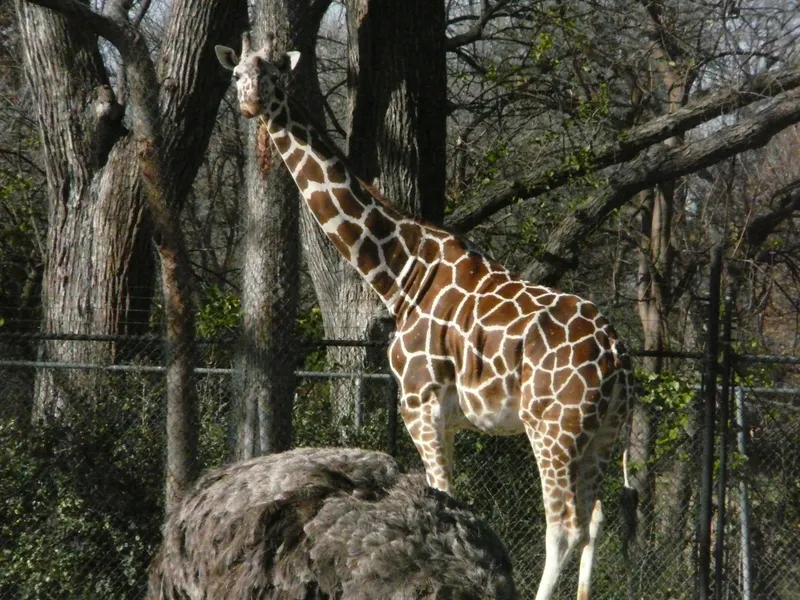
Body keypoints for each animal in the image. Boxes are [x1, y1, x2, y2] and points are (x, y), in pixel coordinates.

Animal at [216, 32, 637, 600]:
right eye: (237, 73)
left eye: (276, 75)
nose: (251, 103)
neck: (400, 275)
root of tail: (618, 356)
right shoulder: (447, 417)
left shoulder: (420, 404)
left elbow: (443, 502)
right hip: (600, 435)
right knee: (594, 521)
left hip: (552, 430)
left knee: (564, 527)